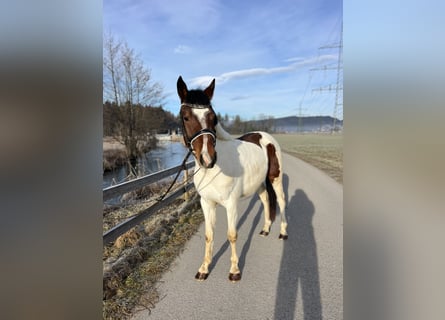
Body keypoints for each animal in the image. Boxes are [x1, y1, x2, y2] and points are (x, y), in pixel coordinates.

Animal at [175, 76, 286, 282]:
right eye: (185, 117)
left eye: (213, 118)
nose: (207, 159)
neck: (215, 171)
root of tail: (265, 136)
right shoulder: (207, 203)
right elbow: (209, 235)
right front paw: (204, 269)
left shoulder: (231, 204)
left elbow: (232, 235)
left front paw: (234, 271)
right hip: (259, 184)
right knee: (266, 200)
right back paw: (266, 229)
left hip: (276, 179)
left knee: (281, 201)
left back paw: (283, 232)